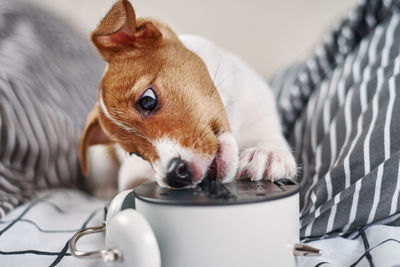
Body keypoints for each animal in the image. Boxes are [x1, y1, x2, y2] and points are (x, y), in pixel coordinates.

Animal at [79, 0, 296, 197]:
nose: (174, 176)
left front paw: (266, 153)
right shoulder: (130, 175)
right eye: (134, 153)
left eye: (147, 101)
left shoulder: (260, 112)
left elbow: (268, 136)